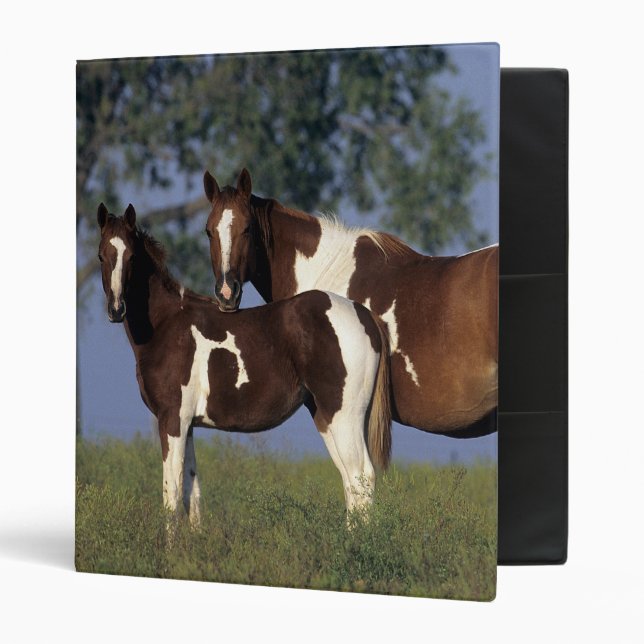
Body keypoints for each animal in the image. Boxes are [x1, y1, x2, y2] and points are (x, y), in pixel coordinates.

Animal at [96, 203, 392, 529]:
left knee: (361, 476)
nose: (116, 309)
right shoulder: (187, 425)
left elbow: (171, 495)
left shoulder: (172, 419)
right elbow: (191, 493)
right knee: (351, 482)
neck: (166, 324)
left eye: (131, 256)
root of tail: (365, 316)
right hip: (328, 417)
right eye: (101, 255)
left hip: (345, 416)